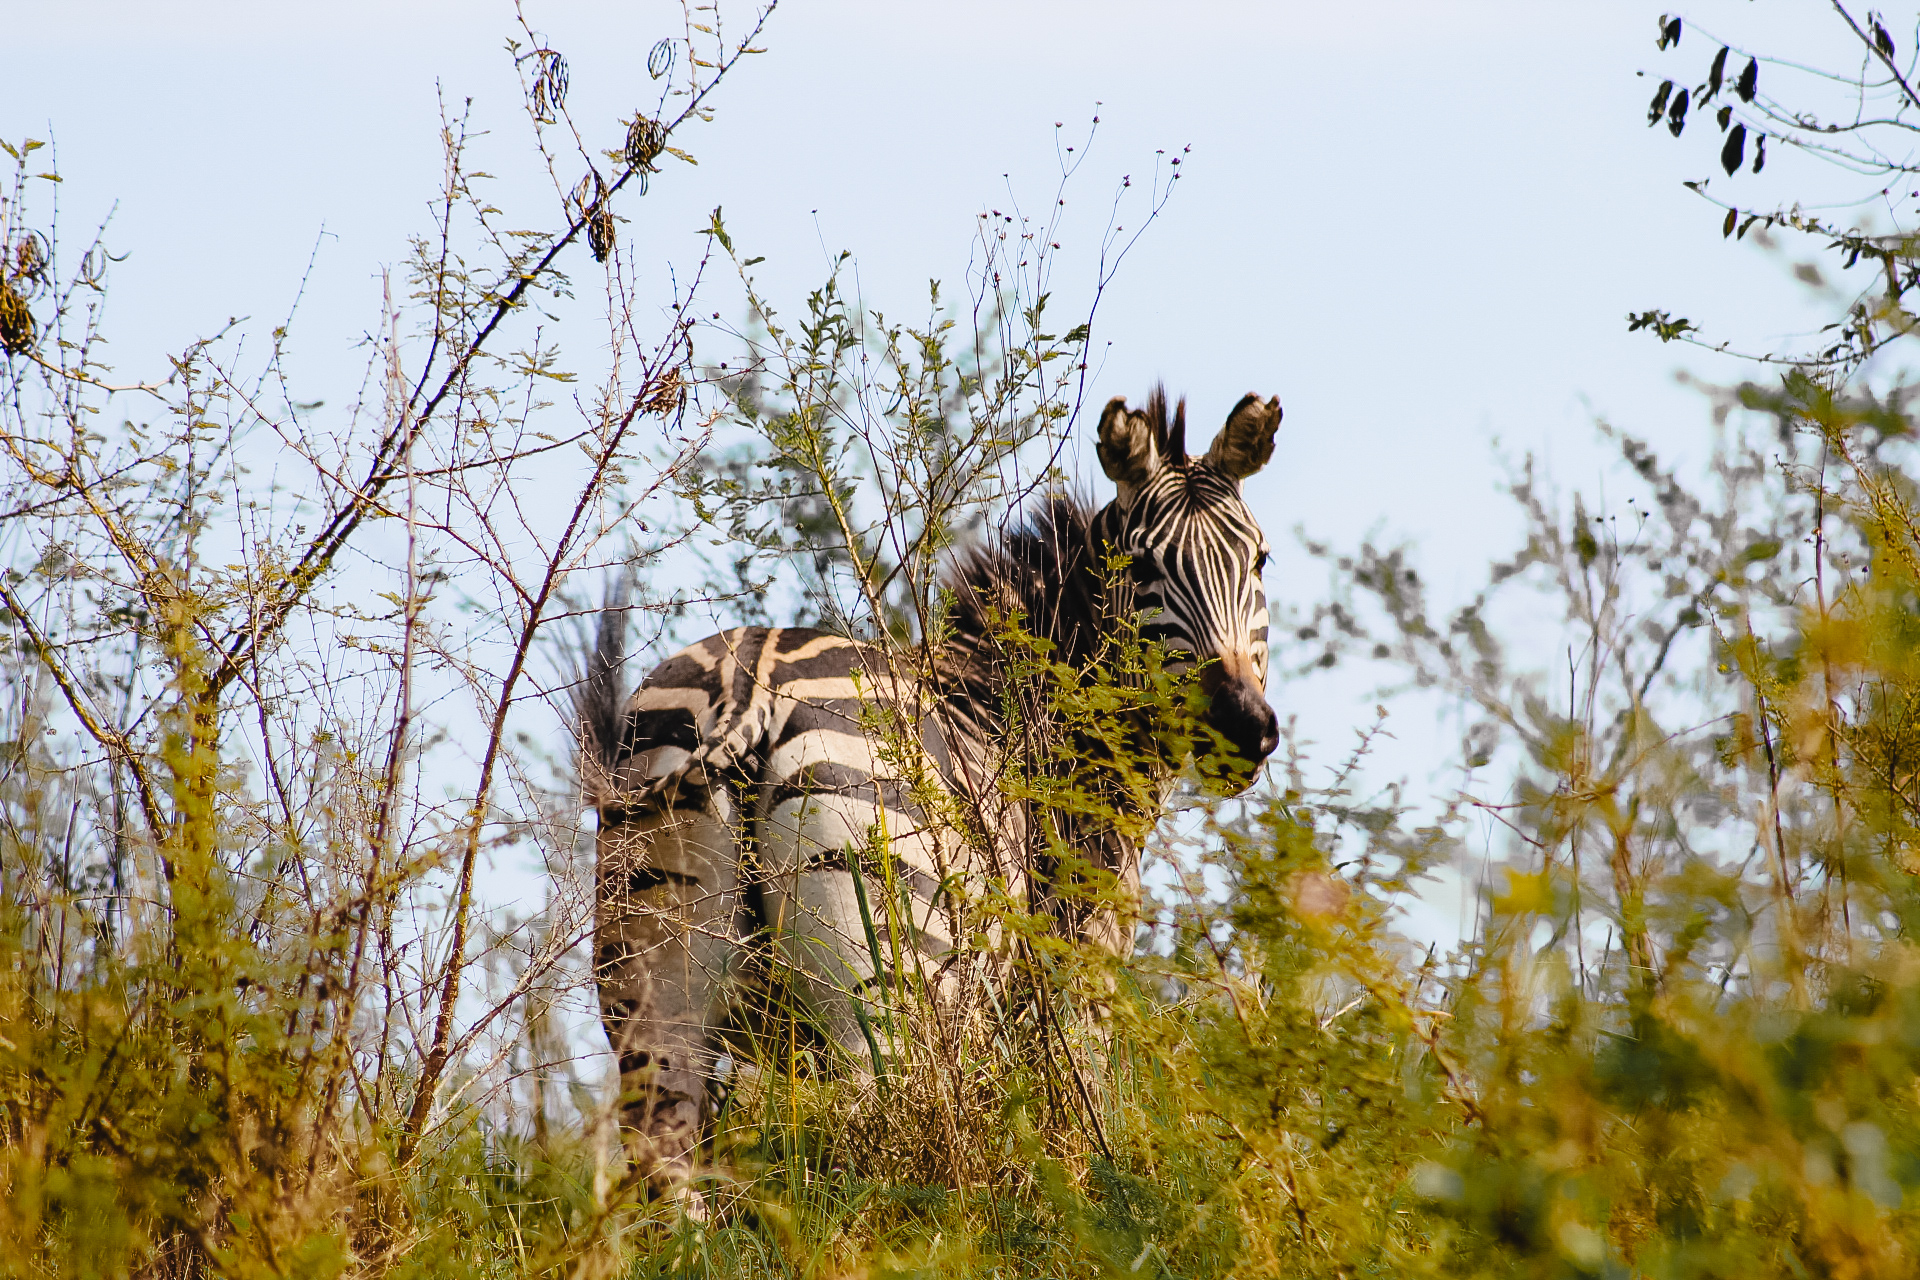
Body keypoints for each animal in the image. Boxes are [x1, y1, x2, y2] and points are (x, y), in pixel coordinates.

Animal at [575, 387, 1282, 1200]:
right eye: (1141, 567)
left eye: (1260, 560)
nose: (1244, 728)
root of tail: (747, 682)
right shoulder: (1076, 975)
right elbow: (1077, 1129)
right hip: (879, 975)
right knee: (870, 1146)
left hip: (656, 989)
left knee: (668, 1162)